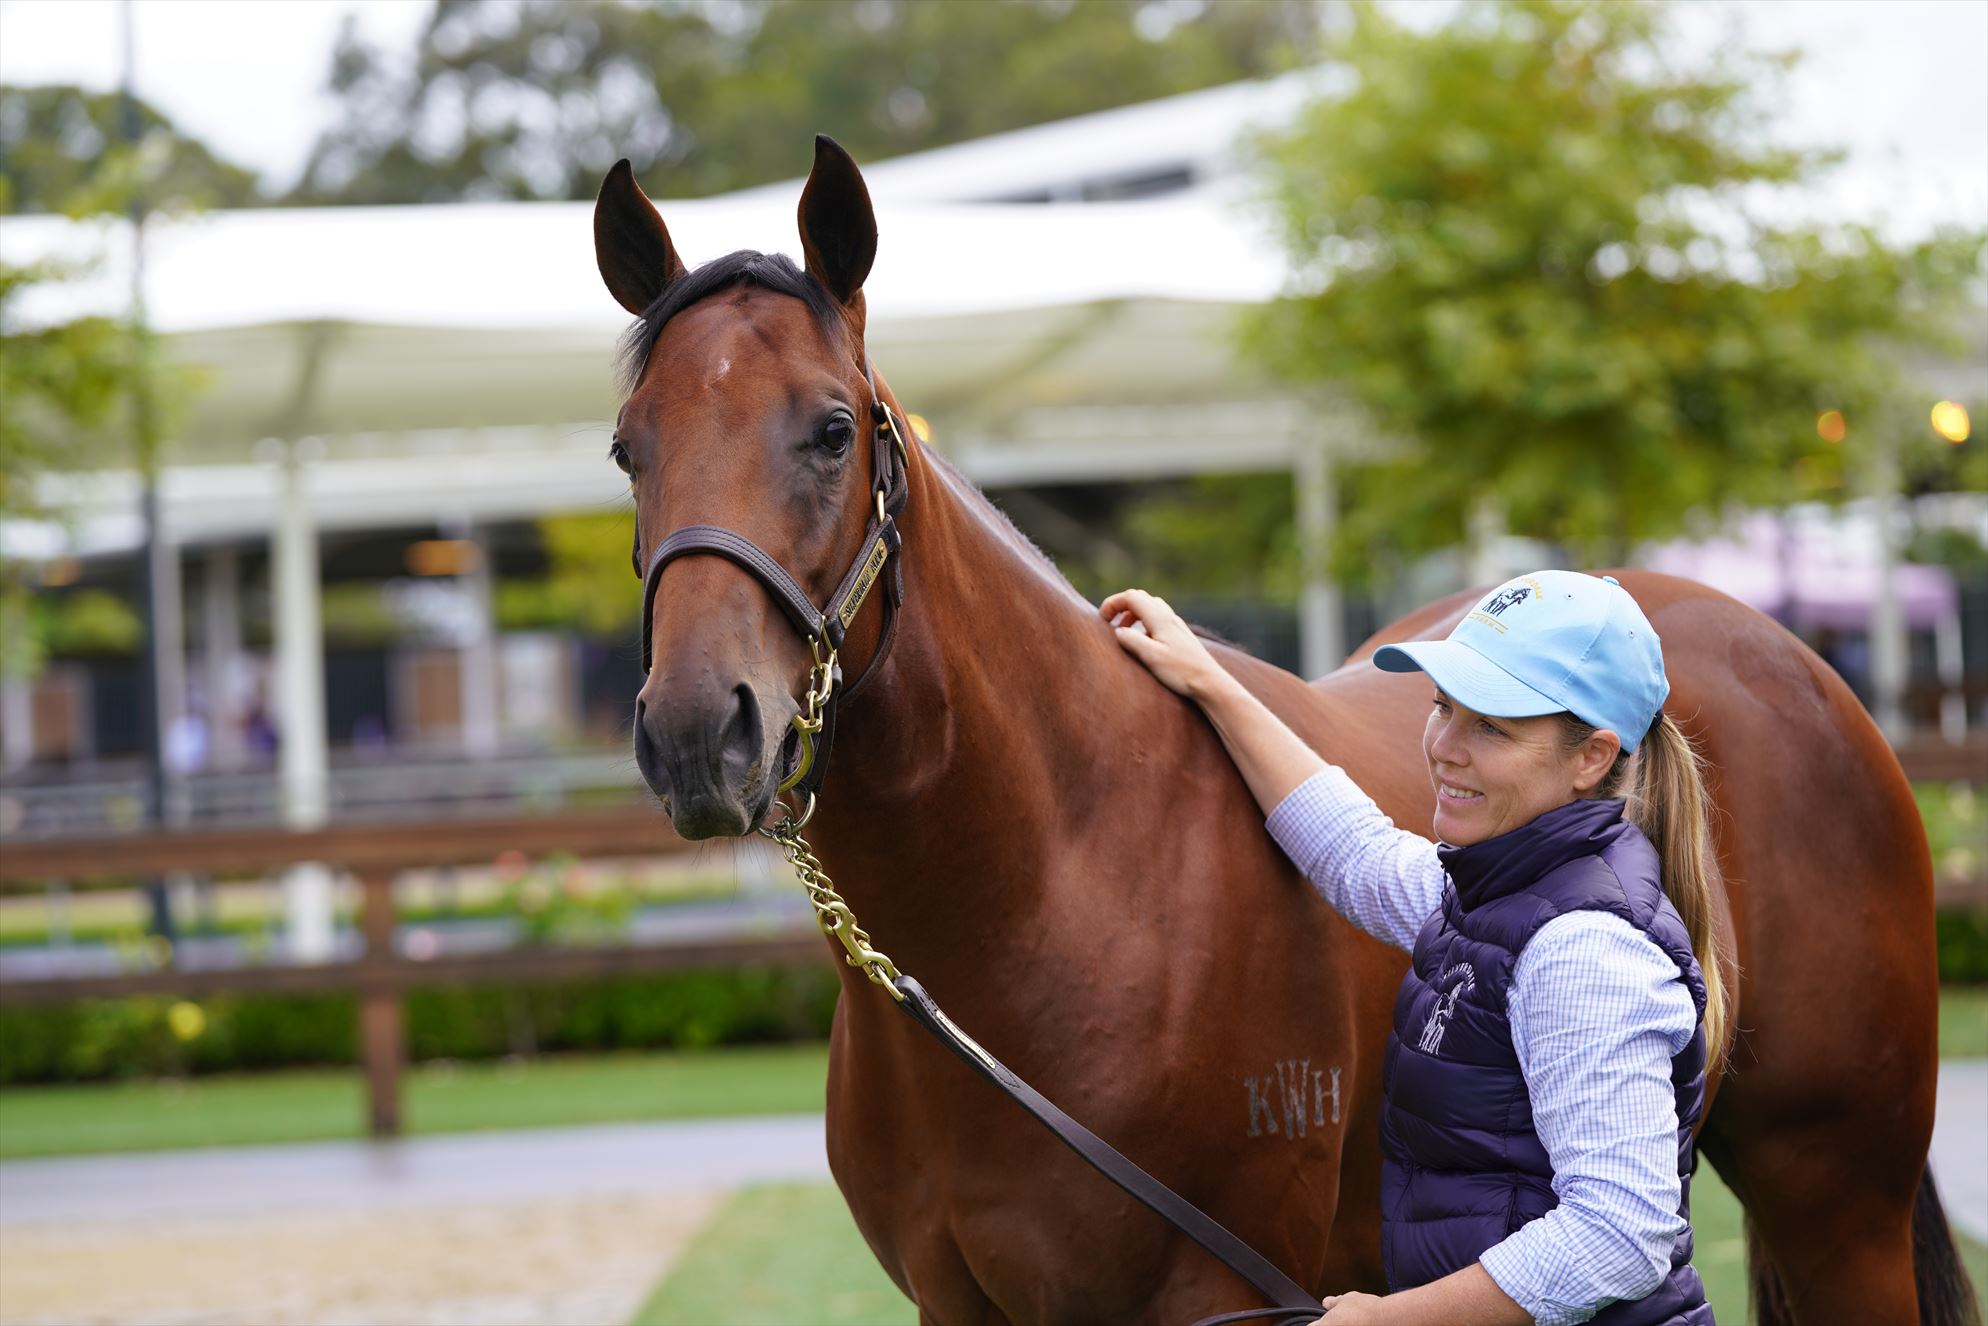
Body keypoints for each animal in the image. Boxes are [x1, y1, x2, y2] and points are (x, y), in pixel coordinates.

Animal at [593, 136, 1976, 1325]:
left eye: (830, 429)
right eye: (626, 449)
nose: (696, 732)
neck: (1053, 893)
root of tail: (1779, 658)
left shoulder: (1215, 1293)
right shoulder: (957, 1305)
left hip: (1835, 1208)